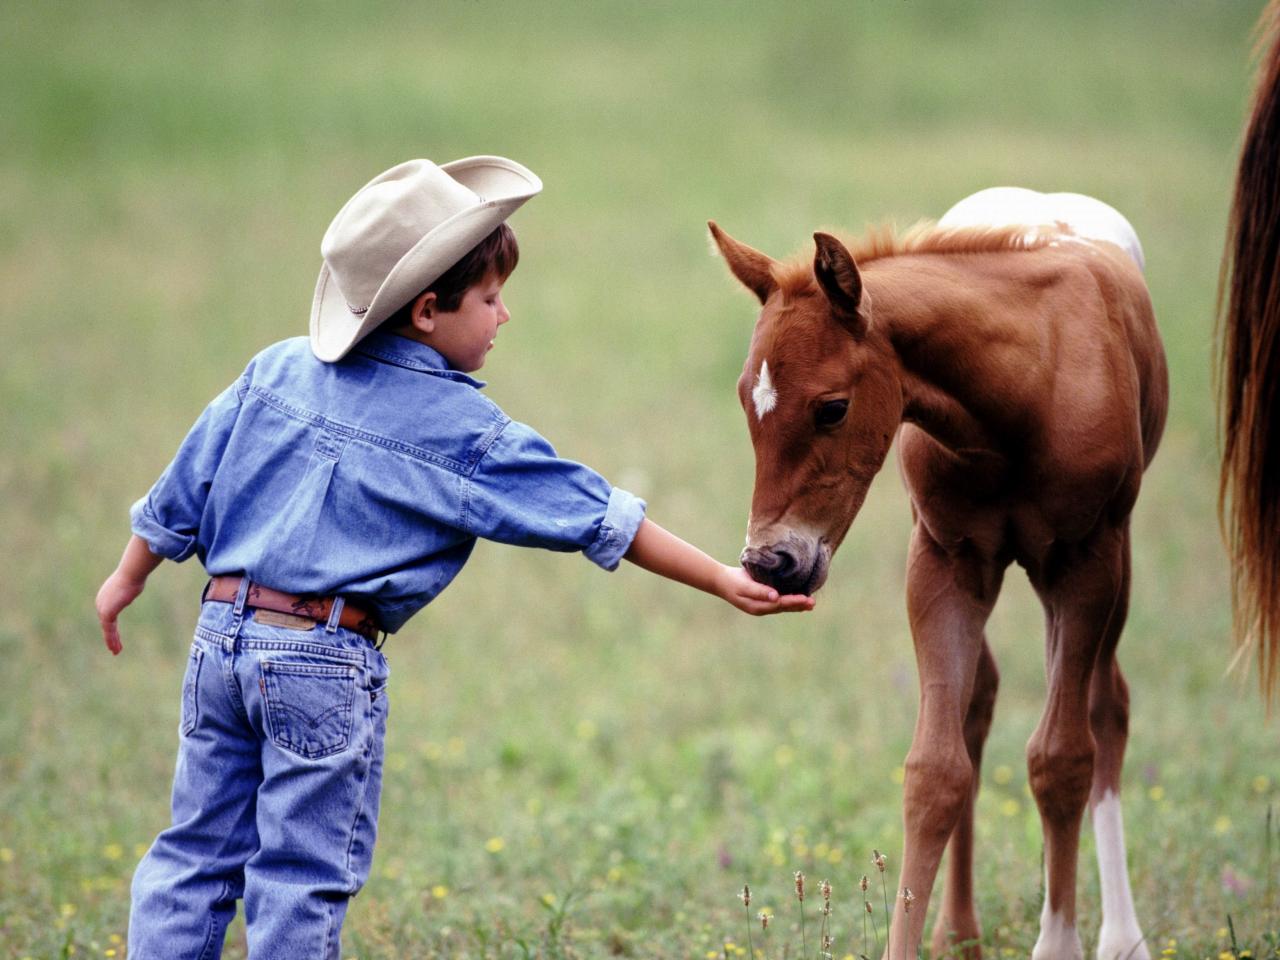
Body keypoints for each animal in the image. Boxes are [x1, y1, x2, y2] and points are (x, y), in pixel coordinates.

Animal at [711, 189, 1172, 960]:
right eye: (749, 400)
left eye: (832, 407)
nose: (771, 562)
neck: (1025, 391)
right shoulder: (944, 561)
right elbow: (936, 772)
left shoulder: (1084, 563)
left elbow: (1061, 758)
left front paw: (1060, 942)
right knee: (978, 703)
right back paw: (959, 930)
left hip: (1116, 556)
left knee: (1108, 705)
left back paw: (1122, 935)